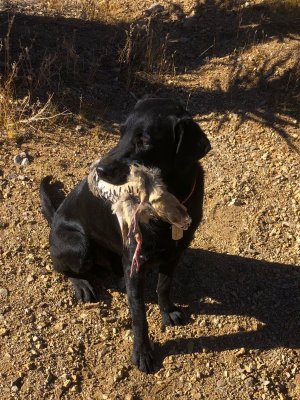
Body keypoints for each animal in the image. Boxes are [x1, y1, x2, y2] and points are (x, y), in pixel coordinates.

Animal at [40, 97, 211, 372]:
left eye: (145, 141)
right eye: (121, 133)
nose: (98, 169)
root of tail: (54, 217)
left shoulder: (175, 253)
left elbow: (164, 286)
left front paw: (167, 310)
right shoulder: (135, 262)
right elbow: (139, 314)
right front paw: (142, 352)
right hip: (80, 246)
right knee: (61, 267)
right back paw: (82, 284)